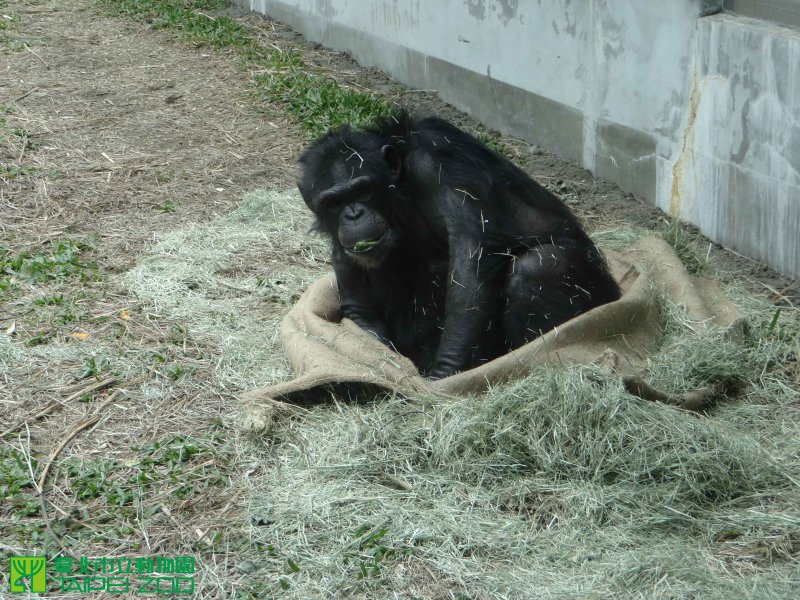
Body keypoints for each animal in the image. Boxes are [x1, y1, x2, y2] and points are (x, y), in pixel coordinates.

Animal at [296, 114, 620, 378]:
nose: (353, 213)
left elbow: (471, 260)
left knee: (541, 265)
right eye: (333, 203)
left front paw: (444, 374)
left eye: (363, 190)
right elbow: (356, 302)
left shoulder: (439, 158)